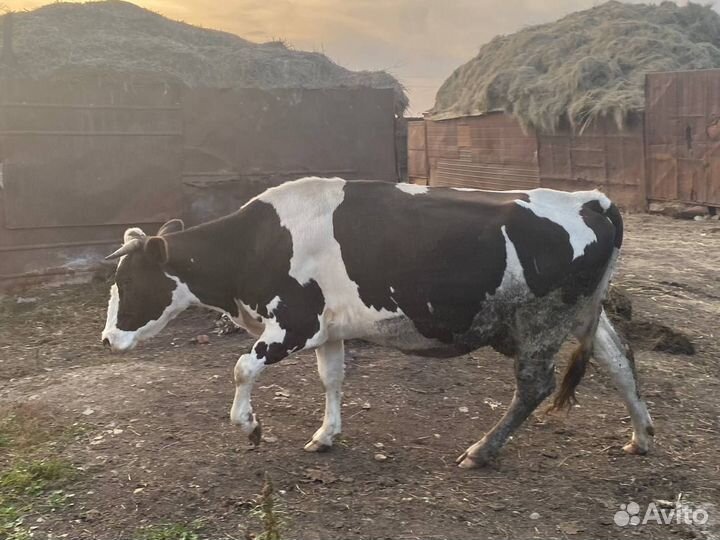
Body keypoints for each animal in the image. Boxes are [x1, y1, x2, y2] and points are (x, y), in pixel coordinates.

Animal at [101, 177, 654, 468]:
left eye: (127, 282)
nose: (107, 339)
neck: (256, 245)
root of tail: (588, 199)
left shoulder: (294, 324)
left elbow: (242, 368)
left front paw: (251, 428)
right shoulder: (328, 328)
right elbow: (332, 378)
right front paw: (326, 434)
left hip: (542, 320)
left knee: (535, 386)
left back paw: (481, 449)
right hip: (584, 313)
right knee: (620, 360)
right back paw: (642, 436)